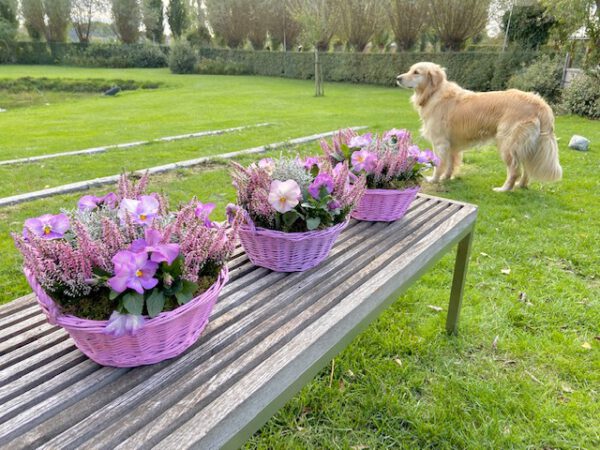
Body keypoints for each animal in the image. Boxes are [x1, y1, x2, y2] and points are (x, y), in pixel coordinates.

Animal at [398, 61, 564, 190]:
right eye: (409, 69)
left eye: (416, 72)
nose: (398, 78)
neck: (433, 92)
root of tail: (540, 103)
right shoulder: (451, 144)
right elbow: (451, 163)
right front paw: (446, 177)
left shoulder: (440, 142)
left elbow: (438, 164)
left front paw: (434, 179)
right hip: (524, 146)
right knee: (525, 169)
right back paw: (520, 186)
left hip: (507, 144)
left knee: (514, 170)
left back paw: (504, 189)